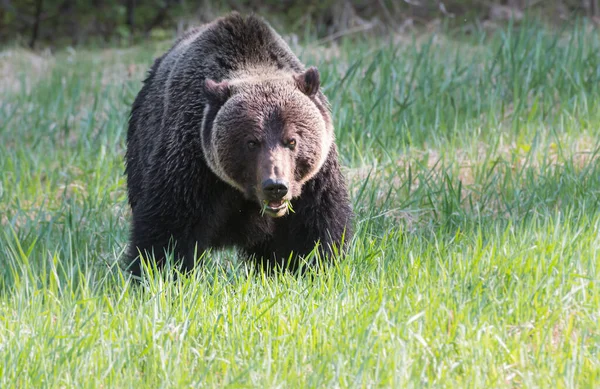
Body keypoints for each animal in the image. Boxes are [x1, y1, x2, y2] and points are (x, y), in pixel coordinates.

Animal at [124, 12, 354, 276]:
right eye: (252, 142)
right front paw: (158, 271)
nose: (275, 186)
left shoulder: (314, 182)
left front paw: (310, 267)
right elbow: (167, 229)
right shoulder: (192, 166)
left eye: (292, 140)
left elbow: (315, 232)